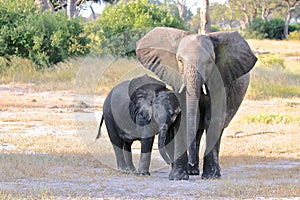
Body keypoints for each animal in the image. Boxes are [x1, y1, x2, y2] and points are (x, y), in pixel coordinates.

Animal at [136, 27, 258, 180]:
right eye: (180, 61)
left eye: (210, 62)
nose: (192, 162)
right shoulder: (177, 78)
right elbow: (182, 120)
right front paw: (178, 177)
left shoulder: (220, 80)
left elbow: (213, 118)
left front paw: (210, 176)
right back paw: (192, 171)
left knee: (218, 127)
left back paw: (208, 172)